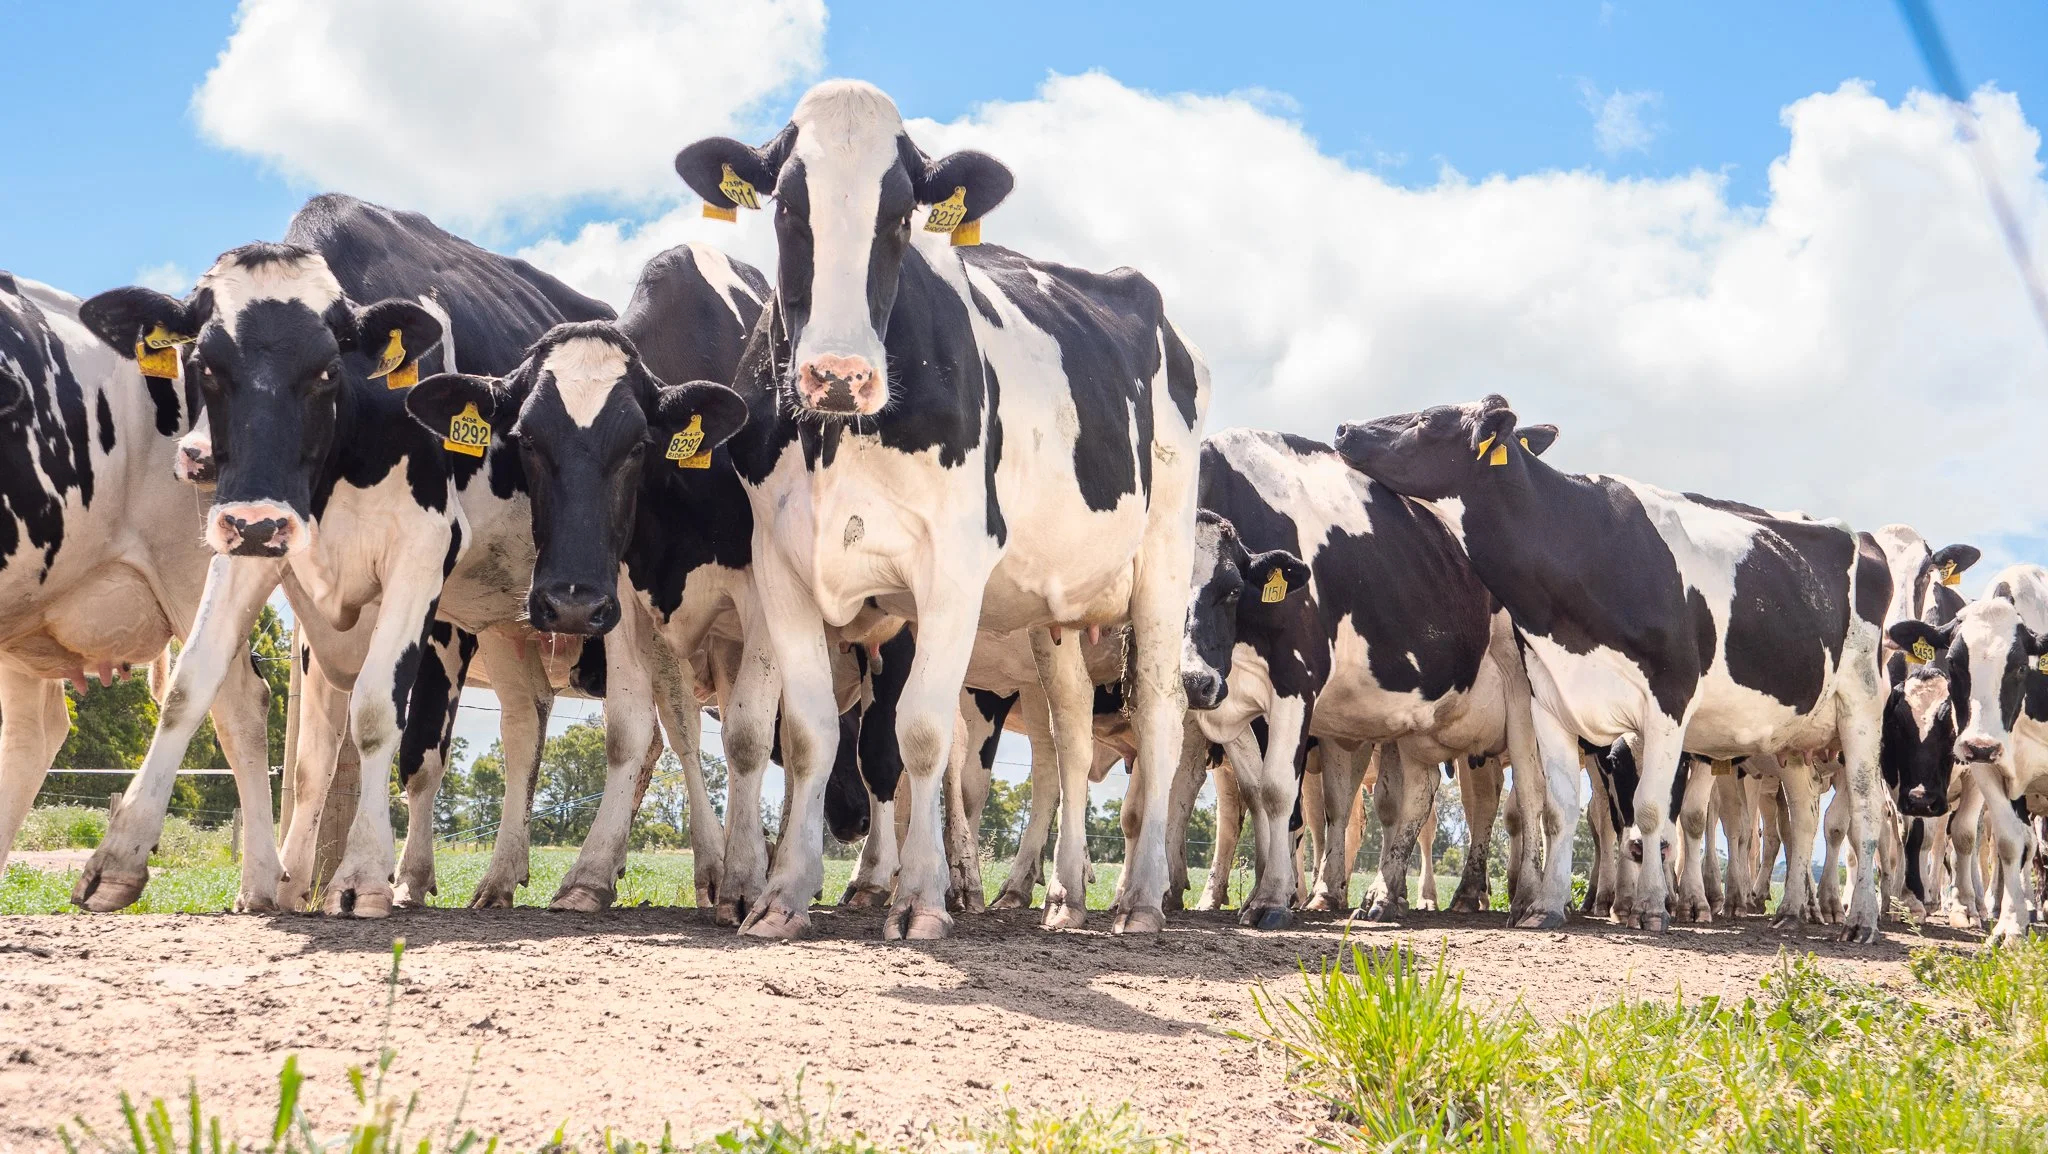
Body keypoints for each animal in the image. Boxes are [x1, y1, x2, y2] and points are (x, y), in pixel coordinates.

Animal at [71, 194, 627, 916]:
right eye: (203, 365)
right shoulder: (254, 542)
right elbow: (213, 698)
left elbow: (381, 719)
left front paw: (367, 875)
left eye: (327, 371)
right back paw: (502, 877)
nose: (195, 457)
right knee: (525, 728)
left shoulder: (424, 559)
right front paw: (130, 858)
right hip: (507, 623)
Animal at [674, 80, 1209, 939]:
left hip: (1161, 564)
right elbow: (811, 731)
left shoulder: (953, 568)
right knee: (1069, 731)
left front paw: (922, 900)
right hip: (1058, 612)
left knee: (1159, 720)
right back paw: (1065, 898)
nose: (838, 374)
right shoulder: (779, 565)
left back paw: (1139, 901)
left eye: (900, 216)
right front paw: (782, 897)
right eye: (789, 206)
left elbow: (921, 734)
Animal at [1178, 428, 1538, 928]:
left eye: (1231, 589)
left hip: (1526, 707)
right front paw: (1268, 894)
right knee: (1420, 796)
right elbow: (1257, 794)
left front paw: (1271, 900)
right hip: (1426, 720)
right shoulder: (1231, 704)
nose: (1194, 681)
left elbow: (1276, 792)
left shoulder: (1296, 681)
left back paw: (1532, 900)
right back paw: (1387, 896)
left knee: (1529, 796)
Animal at [1333, 395, 1892, 940]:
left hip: (1861, 708)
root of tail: (1861, 538)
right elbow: (1557, 810)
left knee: (1864, 815)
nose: (1343, 428)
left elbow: (1650, 808)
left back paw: (1860, 919)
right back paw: (1792, 912)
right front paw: (1548, 906)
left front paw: (1651, 908)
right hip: (1797, 741)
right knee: (1802, 822)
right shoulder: (1549, 700)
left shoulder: (1669, 700)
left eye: (1428, 419)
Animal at [1889, 563, 2048, 943]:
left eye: (2020, 666)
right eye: (1956, 664)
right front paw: (2010, 927)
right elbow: (2008, 842)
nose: (1980, 744)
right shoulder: (1987, 769)